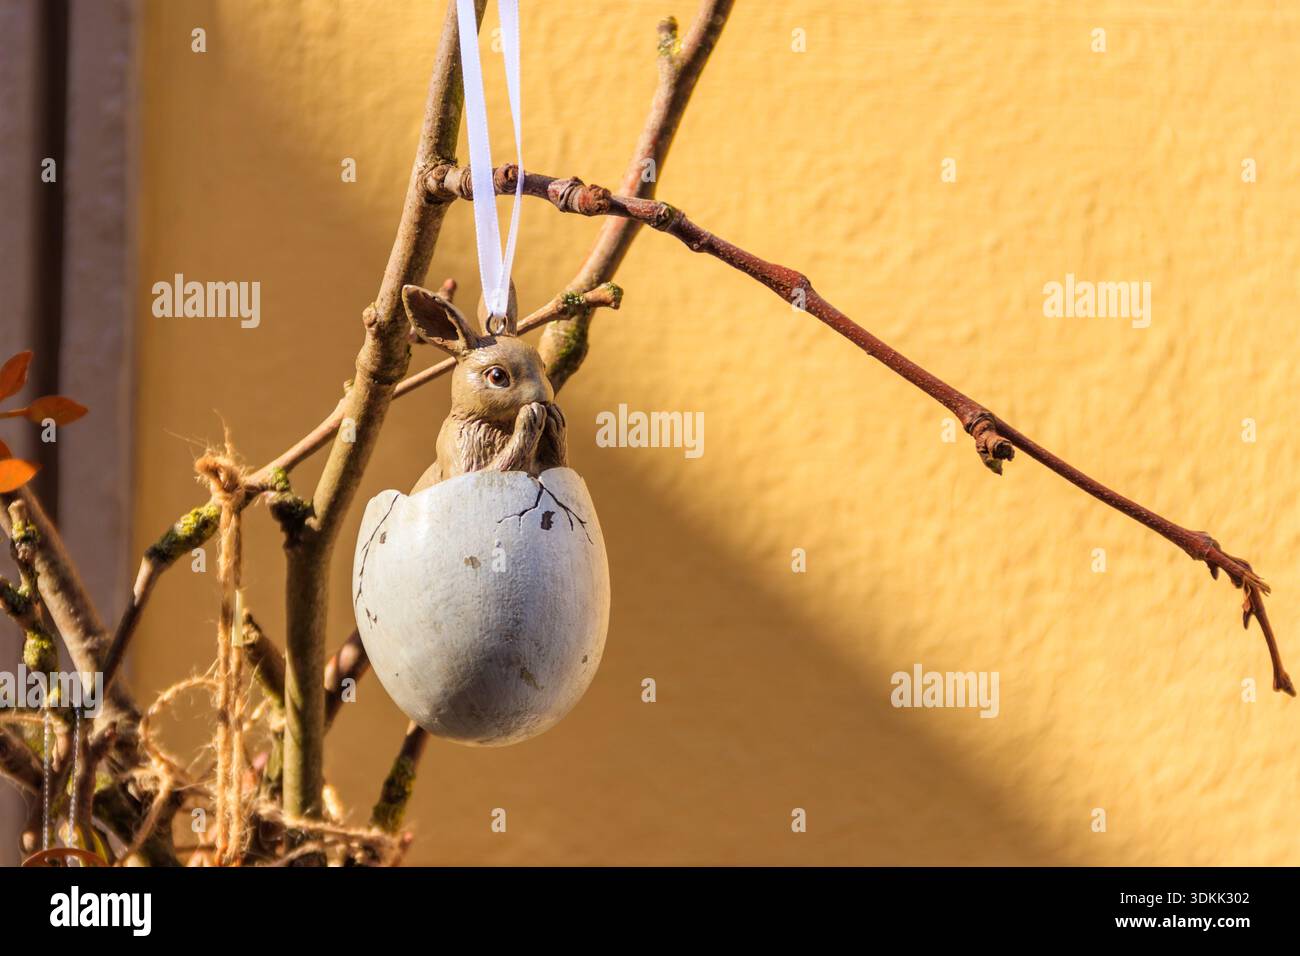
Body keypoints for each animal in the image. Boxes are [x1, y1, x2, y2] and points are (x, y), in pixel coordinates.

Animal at [401, 283, 567, 493]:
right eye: (497, 376)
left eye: (543, 366)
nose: (544, 400)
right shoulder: (457, 452)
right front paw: (530, 417)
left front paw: (556, 420)